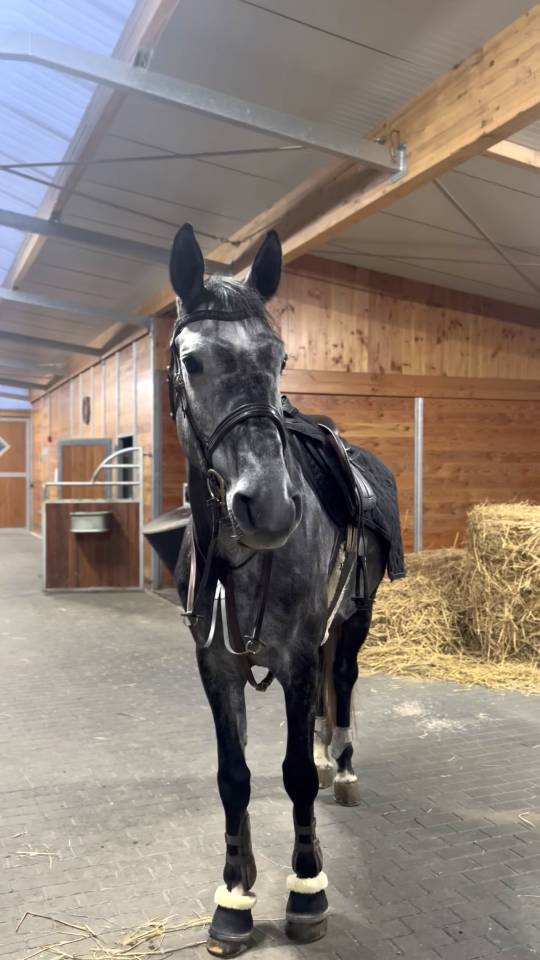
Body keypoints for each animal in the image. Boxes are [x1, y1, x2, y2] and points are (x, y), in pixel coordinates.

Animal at [167, 223, 403, 956]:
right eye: (191, 362)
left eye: (279, 357)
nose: (268, 508)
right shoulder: (215, 665)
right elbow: (234, 777)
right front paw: (235, 897)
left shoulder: (298, 658)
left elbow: (293, 771)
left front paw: (306, 890)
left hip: (355, 617)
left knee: (344, 679)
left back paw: (343, 766)